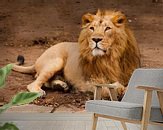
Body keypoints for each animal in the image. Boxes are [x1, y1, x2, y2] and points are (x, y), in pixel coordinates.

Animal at [12, 9, 140, 98]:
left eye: (107, 28)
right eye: (92, 28)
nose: (96, 39)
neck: (111, 57)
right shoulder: (89, 82)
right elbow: (108, 87)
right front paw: (120, 90)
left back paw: (61, 85)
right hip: (56, 62)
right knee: (34, 83)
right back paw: (41, 92)